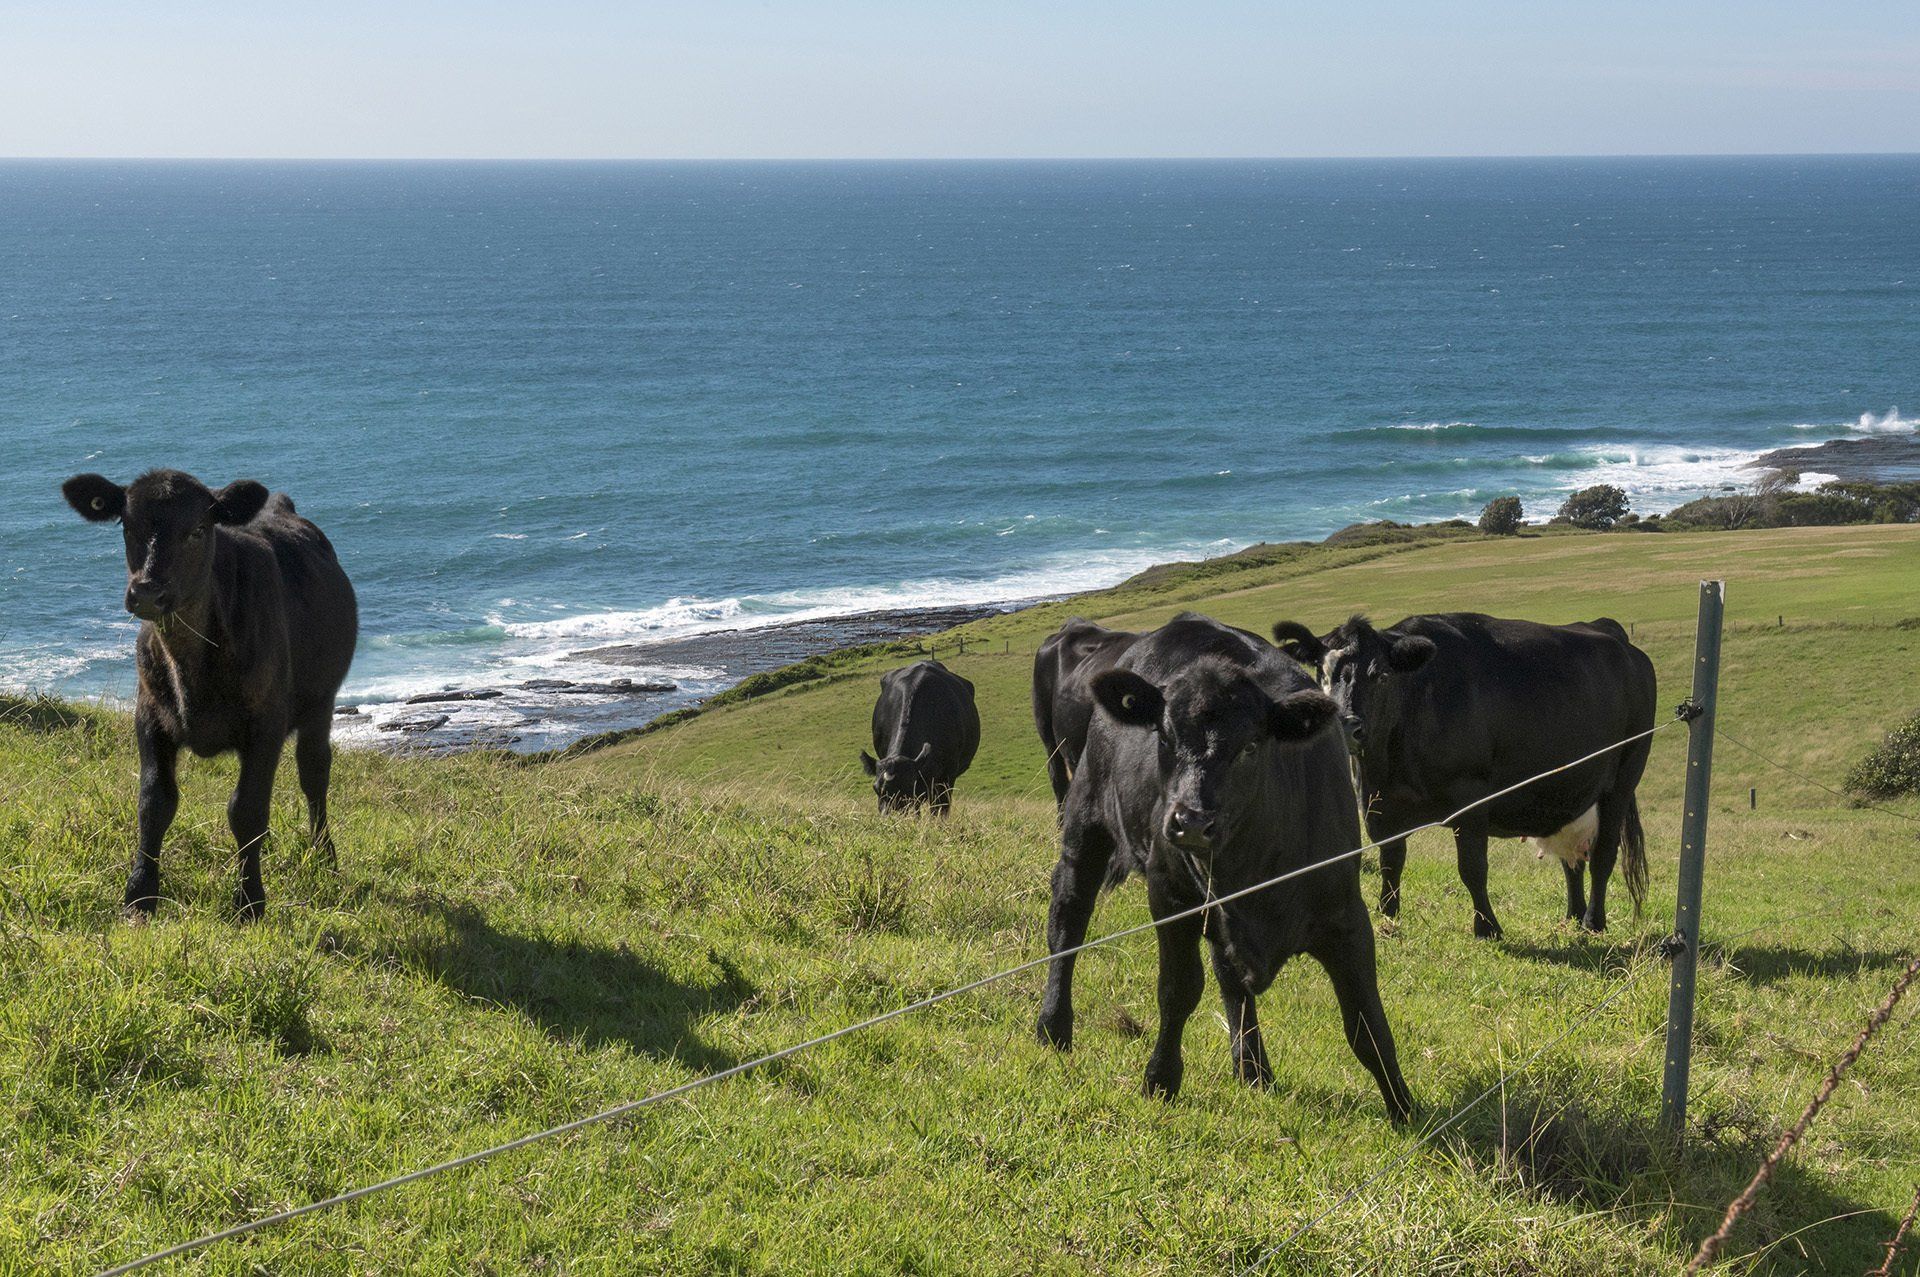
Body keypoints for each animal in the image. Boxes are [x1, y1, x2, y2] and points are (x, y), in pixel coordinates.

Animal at [62, 470, 358, 920]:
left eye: (198, 530)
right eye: (127, 525)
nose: (147, 592)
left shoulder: (266, 724)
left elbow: (247, 809)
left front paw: (249, 901)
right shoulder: (149, 715)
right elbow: (154, 802)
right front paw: (140, 894)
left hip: (321, 702)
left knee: (314, 773)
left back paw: (324, 856)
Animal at [1270, 612, 1656, 939]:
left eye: (1380, 676)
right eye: (1322, 673)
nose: (1346, 726)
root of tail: (1611, 631)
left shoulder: (1469, 797)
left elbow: (1472, 867)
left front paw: (1487, 928)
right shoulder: (1377, 802)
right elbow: (1391, 863)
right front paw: (1388, 917)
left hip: (1624, 778)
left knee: (1603, 855)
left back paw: (1593, 921)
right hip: (1564, 790)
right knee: (1571, 860)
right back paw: (1573, 916)